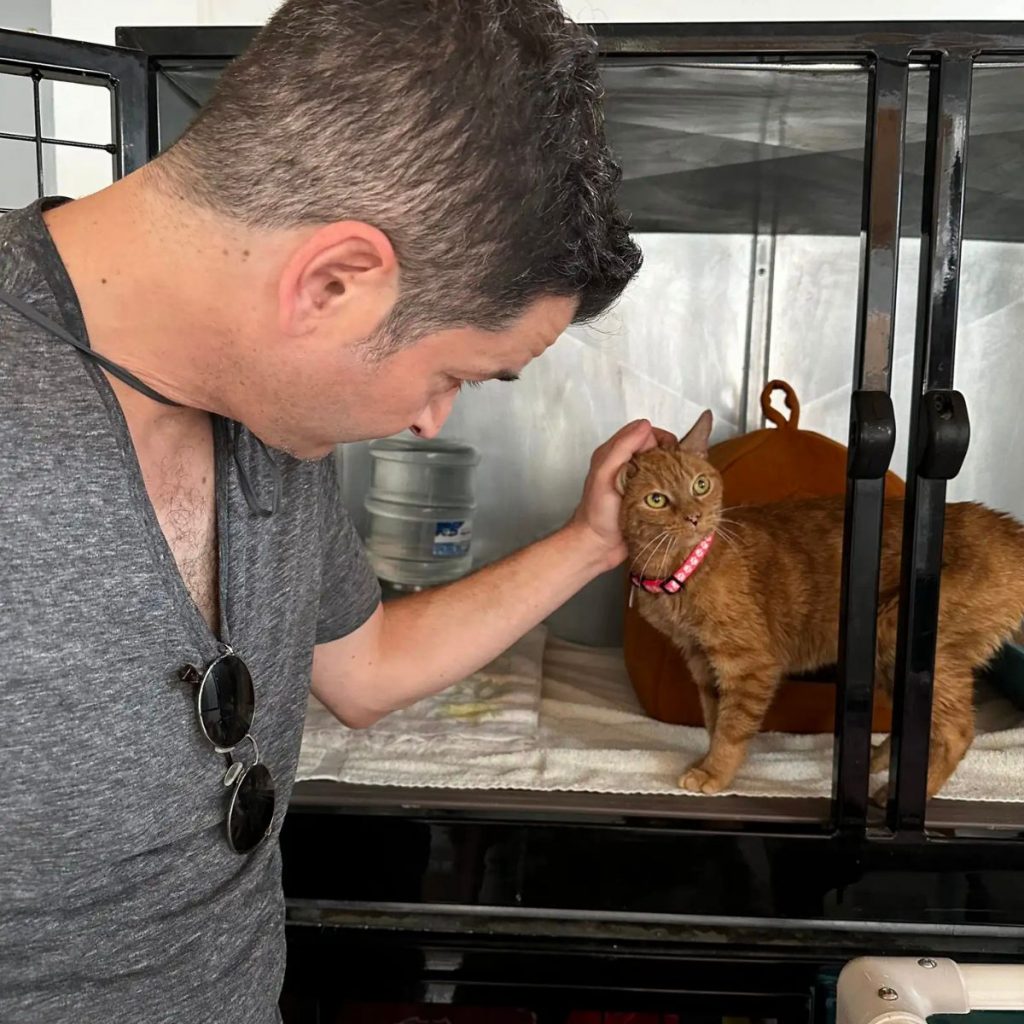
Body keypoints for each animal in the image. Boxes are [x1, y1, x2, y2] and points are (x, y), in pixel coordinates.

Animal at [614, 407, 1024, 798]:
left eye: (700, 485)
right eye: (656, 500)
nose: (694, 517)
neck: (681, 569)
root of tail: (1007, 527)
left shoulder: (749, 666)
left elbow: (731, 729)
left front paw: (715, 773)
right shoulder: (703, 662)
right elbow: (715, 721)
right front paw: (706, 761)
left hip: (901, 640)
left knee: (958, 732)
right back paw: (878, 760)